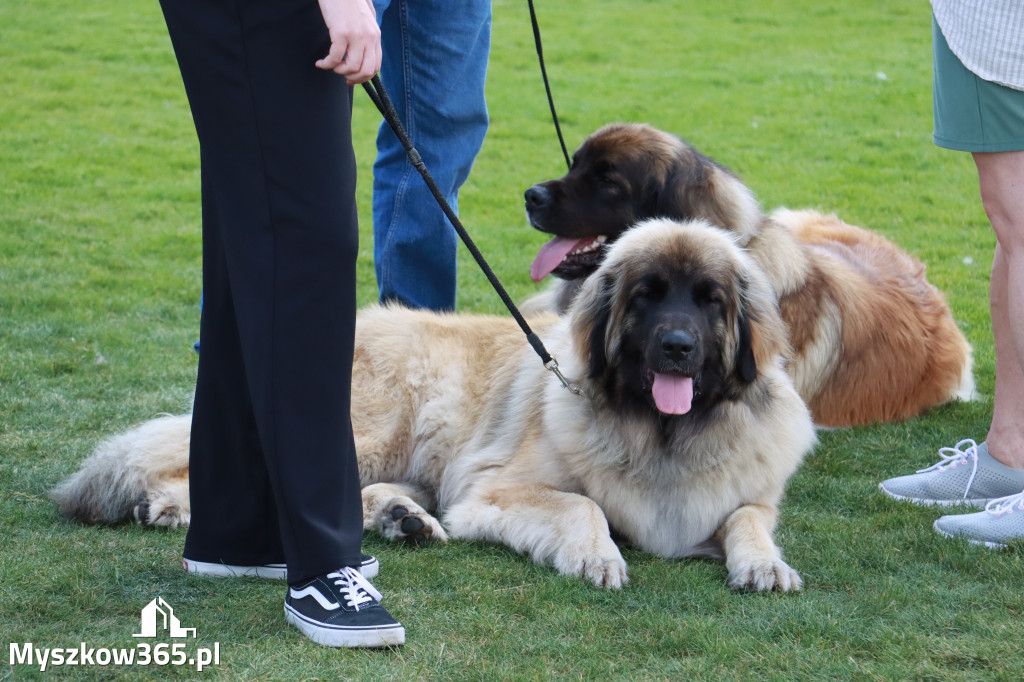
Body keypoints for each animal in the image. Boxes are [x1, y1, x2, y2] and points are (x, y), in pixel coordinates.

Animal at [54, 218, 815, 589]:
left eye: (709, 301)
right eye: (649, 296)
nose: (678, 348)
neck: (661, 432)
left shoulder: (745, 493)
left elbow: (748, 518)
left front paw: (762, 563)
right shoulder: (490, 489)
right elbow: (584, 505)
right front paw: (596, 556)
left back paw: (404, 519)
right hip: (378, 428)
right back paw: (171, 506)